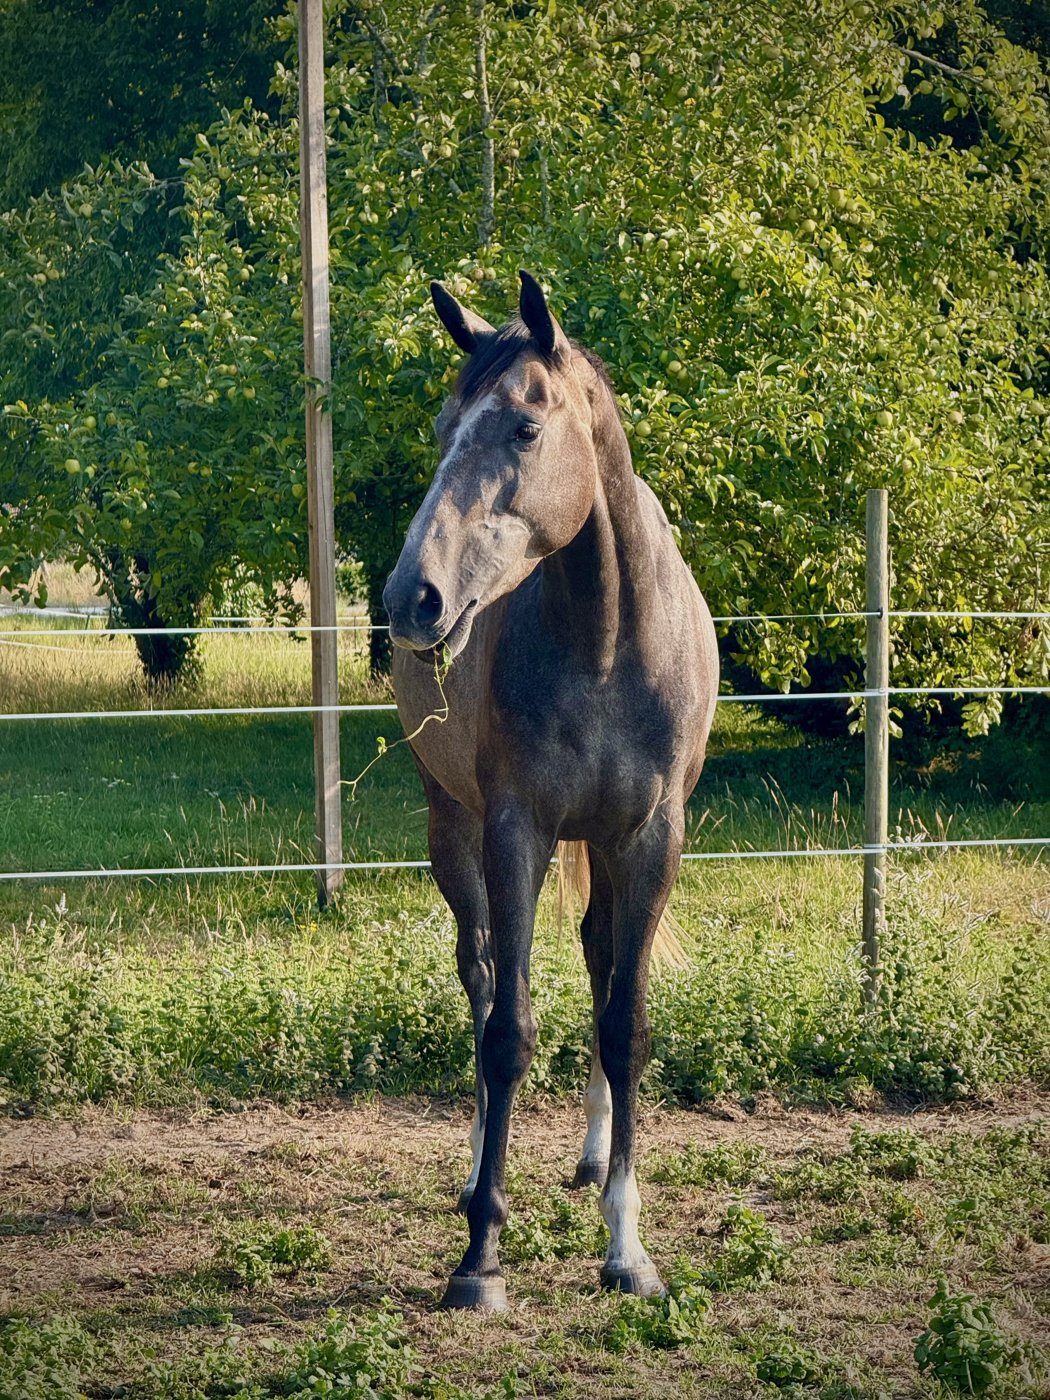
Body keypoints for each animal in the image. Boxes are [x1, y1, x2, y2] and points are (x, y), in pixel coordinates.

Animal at [383, 271, 719, 1311]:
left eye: (525, 429)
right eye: (443, 425)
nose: (411, 598)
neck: (606, 642)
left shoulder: (650, 838)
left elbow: (624, 1021)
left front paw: (628, 1244)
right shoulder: (514, 831)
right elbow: (508, 1030)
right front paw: (480, 1255)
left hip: (603, 847)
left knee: (599, 957)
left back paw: (593, 1157)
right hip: (452, 834)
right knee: (482, 975)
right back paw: (471, 1172)